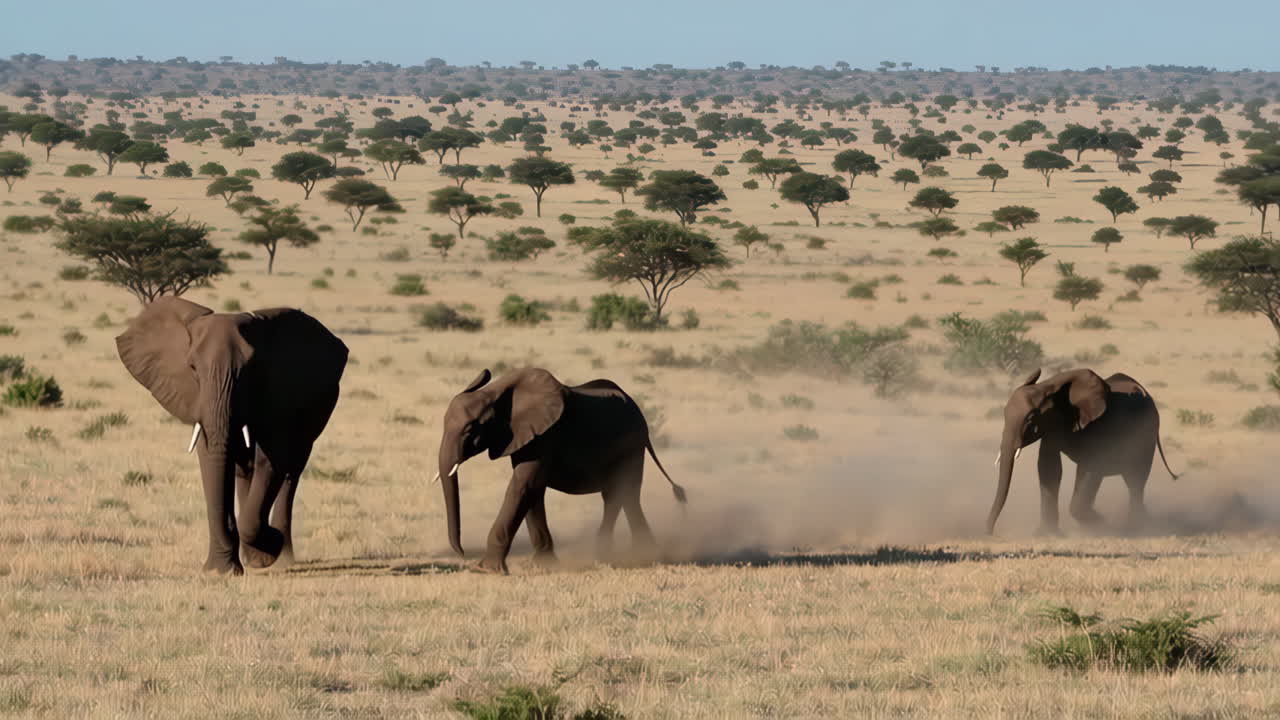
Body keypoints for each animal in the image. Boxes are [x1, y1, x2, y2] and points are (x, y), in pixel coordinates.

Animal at [116, 296, 348, 574]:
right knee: (246, 470)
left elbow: (271, 459)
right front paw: (222, 570)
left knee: (291, 470)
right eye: (192, 368)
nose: (274, 539)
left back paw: (280, 557)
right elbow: (211, 453)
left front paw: (269, 546)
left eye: (250, 369)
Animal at [434, 367, 686, 574]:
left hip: (631, 447)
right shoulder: (525, 437)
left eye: (469, 430)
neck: (497, 393)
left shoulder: (545, 436)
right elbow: (532, 490)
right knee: (618, 496)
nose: (462, 554)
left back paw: (639, 557)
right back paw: (617, 556)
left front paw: (486, 570)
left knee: (626, 493)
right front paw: (545, 565)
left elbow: (523, 485)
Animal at [987, 368, 1178, 535]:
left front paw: (1103, 524)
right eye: (1004, 413)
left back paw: (1134, 528)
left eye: (1030, 419)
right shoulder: (1052, 429)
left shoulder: (1099, 424)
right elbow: (1049, 468)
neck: (1049, 387)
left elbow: (1092, 467)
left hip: (1145, 435)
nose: (989, 532)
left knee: (1136, 480)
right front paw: (1047, 534)